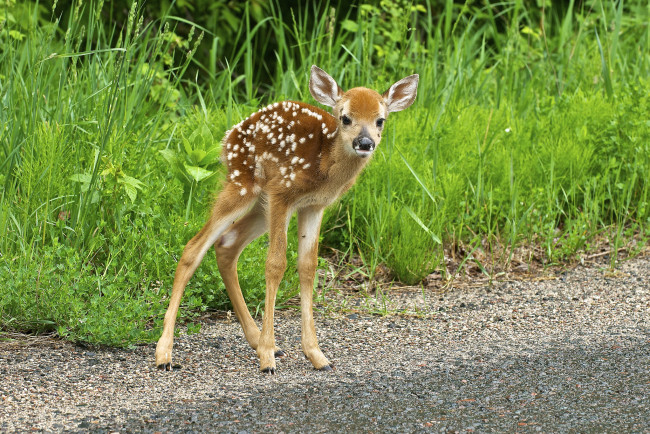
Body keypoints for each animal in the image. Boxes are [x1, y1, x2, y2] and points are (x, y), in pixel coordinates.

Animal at [155, 64, 418, 372]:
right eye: (346, 118)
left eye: (380, 120)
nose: (364, 143)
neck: (324, 165)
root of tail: (228, 137)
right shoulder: (282, 193)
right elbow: (275, 263)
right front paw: (267, 358)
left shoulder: (313, 206)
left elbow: (307, 266)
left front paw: (316, 355)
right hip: (244, 185)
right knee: (193, 248)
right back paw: (165, 354)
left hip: (260, 205)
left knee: (227, 243)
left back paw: (256, 340)